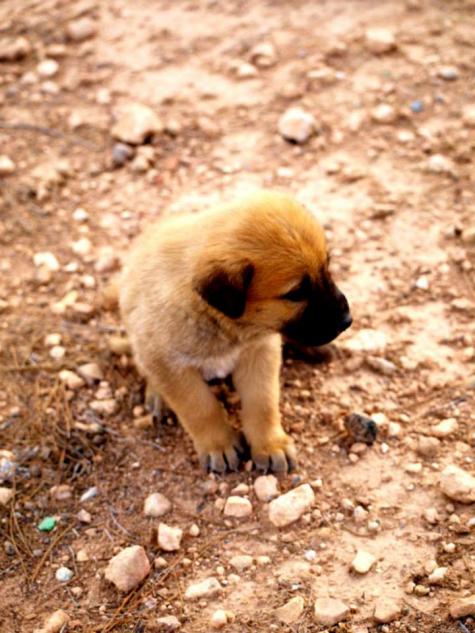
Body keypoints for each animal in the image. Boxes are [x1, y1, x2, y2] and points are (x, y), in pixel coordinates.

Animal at [119, 190, 352, 472]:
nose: (347, 320)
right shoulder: (170, 364)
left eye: (327, 267)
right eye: (296, 293)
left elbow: (262, 403)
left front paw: (270, 445)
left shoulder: (260, 351)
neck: (218, 319)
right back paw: (158, 395)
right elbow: (200, 407)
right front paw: (218, 445)